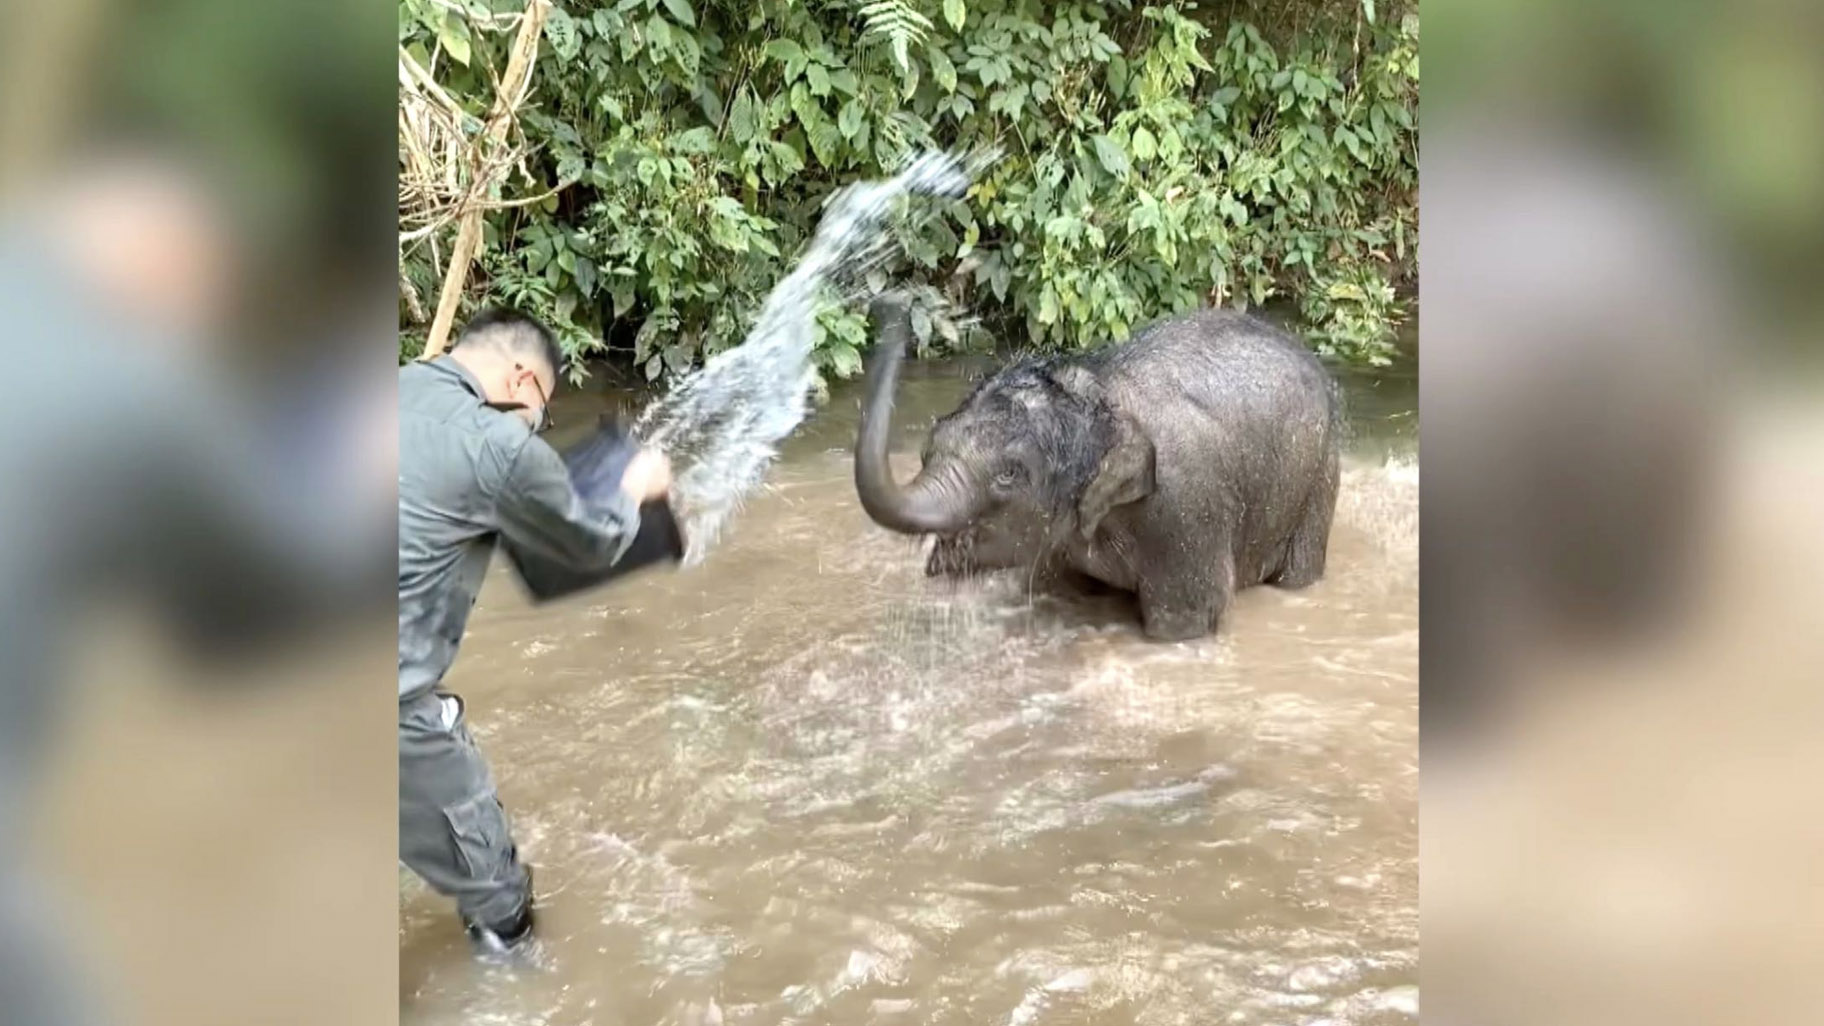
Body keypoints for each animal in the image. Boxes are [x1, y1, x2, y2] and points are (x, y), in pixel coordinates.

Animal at [853, 292, 1342, 635]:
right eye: (927, 449)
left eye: (1008, 475)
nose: (891, 307)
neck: (1104, 395)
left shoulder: (1186, 511)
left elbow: (1187, 619)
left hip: (1319, 478)